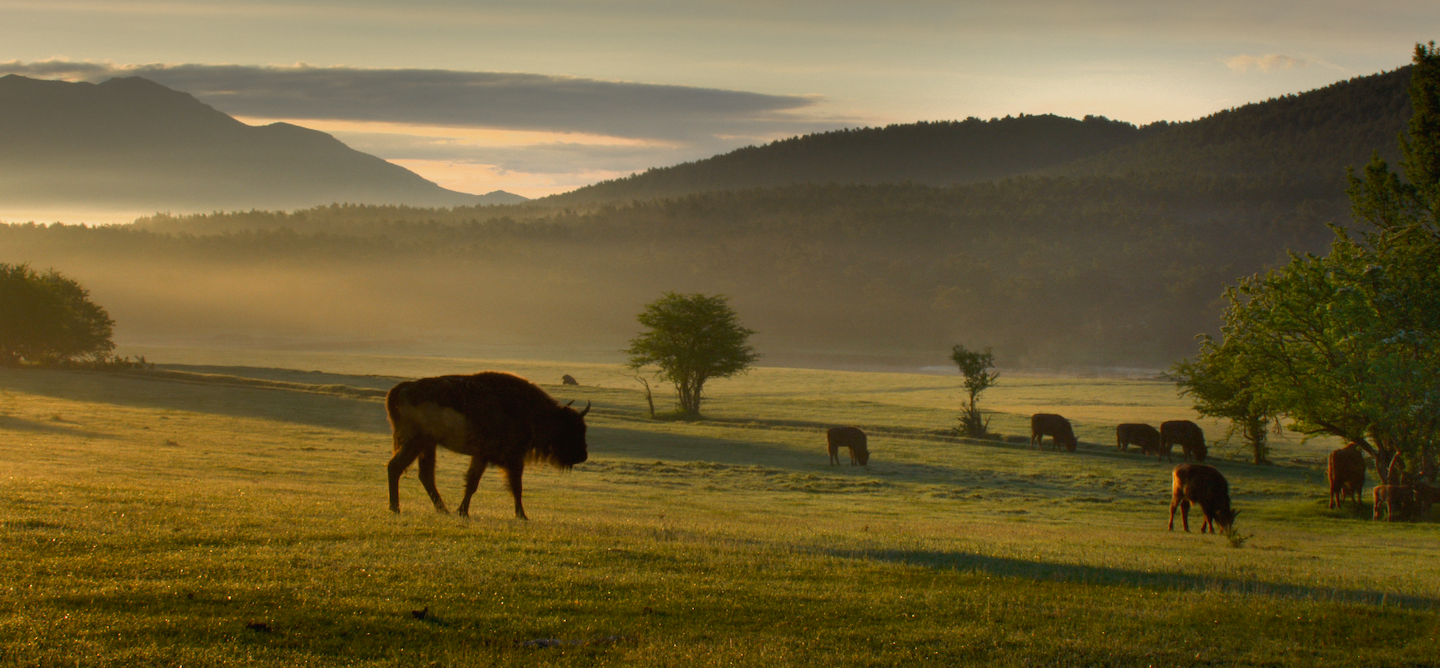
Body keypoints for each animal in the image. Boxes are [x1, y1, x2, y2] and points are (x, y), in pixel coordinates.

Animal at [385, 371, 587, 521]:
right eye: (571, 428)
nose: (583, 455)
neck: (532, 410)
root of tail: (404, 387)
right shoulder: (513, 458)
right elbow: (516, 487)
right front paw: (522, 516)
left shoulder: (482, 456)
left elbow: (472, 483)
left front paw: (463, 512)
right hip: (415, 442)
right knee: (395, 467)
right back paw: (396, 508)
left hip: (427, 445)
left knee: (425, 475)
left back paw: (443, 510)